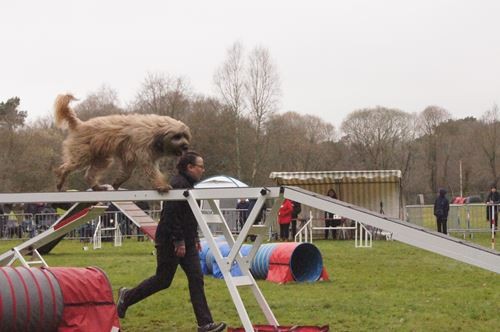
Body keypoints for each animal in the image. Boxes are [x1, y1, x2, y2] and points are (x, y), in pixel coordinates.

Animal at [54, 93, 191, 192]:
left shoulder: (129, 157)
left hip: (102, 158)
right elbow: (152, 172)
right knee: (65, 167)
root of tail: (80, 124)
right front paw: (162, 186)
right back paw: (60, 181)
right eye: (177, 136)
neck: (156, 133)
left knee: (89, 174)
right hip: (83, 154)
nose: (185, 146)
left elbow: (127, 173)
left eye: (185, 136)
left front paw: (117, 183)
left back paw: (97, 187)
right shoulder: (143, 154)